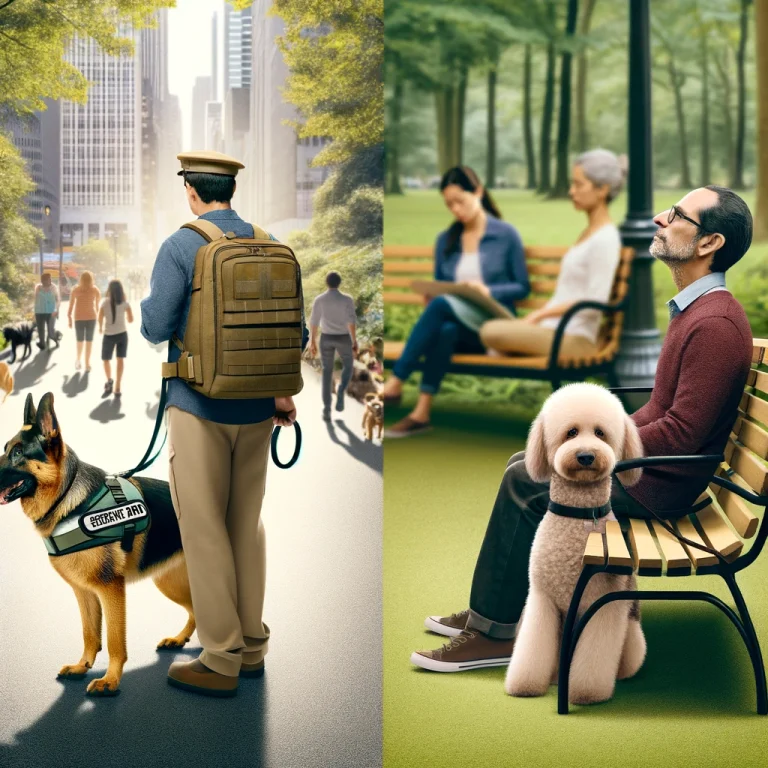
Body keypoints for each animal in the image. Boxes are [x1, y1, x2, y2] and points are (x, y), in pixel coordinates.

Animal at [0, 392, 195, 692]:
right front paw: (82, 666)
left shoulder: (111, 589)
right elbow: (90, 633)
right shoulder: (84, 592)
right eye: (6, 448)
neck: (68, 498)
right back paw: (179, 639)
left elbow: (115, 641)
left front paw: (110, 680)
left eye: (19, 453)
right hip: (169, 583)